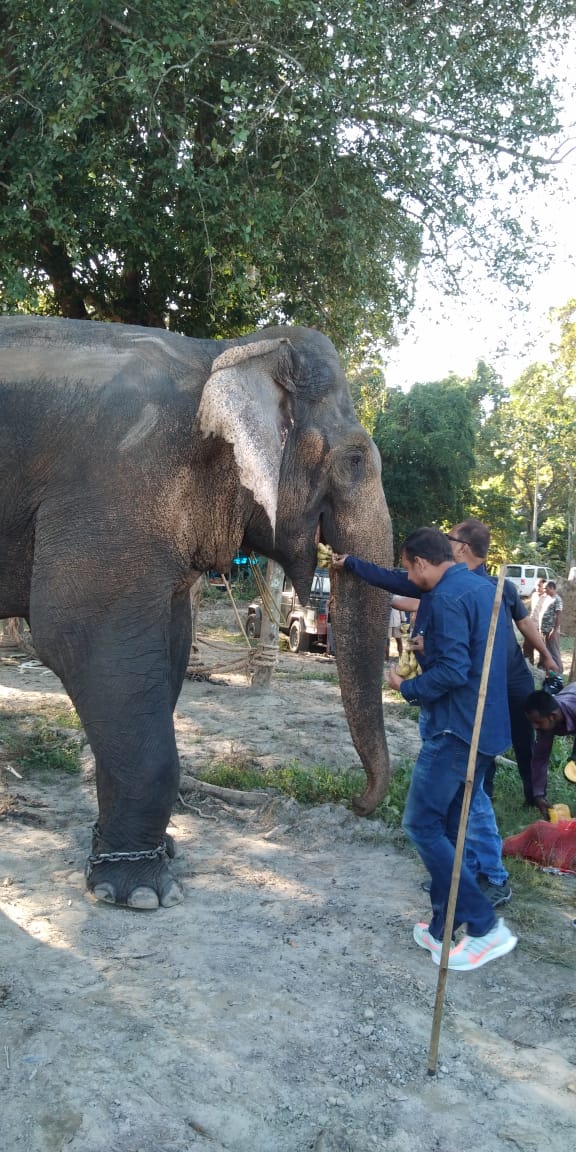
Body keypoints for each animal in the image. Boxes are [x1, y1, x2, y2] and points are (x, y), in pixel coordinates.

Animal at [0, 317, 391, 907]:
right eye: (355, 460)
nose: (359, 802)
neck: (225, 353)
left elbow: (172, 644)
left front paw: (145, 856)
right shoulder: (118, 483)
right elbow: (76, 633)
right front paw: (139, 893)